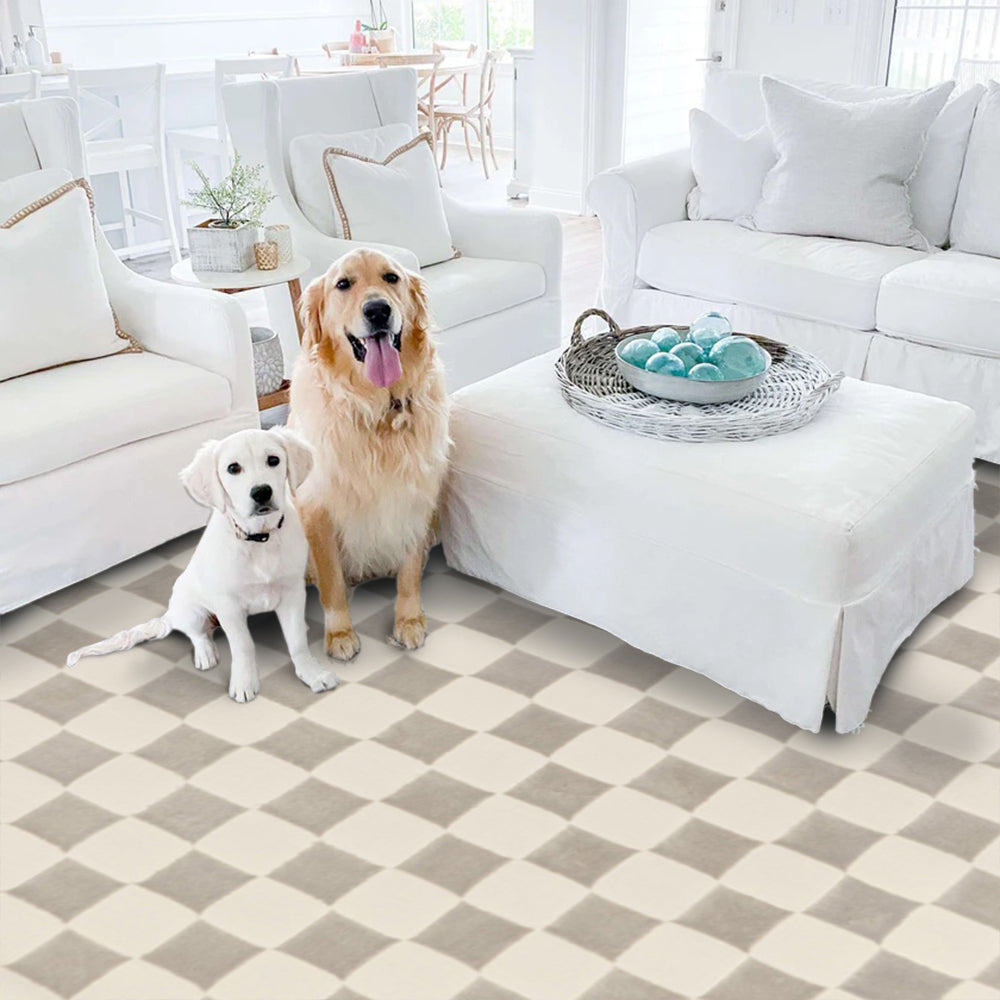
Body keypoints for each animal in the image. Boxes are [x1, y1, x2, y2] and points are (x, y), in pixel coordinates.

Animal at [67, 428, 340, 704]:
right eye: (233, 468)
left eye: (273, 460)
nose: (262, 492)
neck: (259, 539)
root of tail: (170, 613)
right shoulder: (229, 606)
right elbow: (243, 646)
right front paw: (244, 683)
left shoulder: (292, 592)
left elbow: (296, 642)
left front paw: (312, 673)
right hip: (193, 610)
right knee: (197, 634)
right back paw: (205, 654)